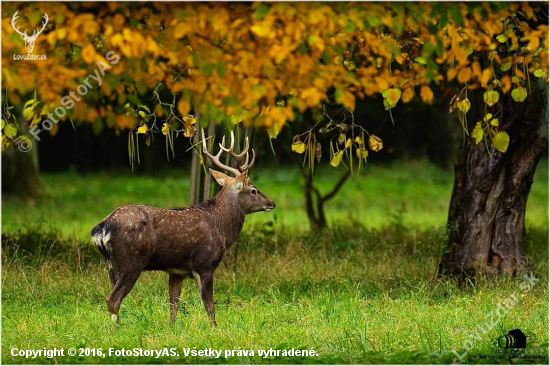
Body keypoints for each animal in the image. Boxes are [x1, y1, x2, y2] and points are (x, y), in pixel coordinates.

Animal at [92, 129, 278, 326]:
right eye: (253, 190)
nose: (271, 203)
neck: (220, 228)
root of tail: (102, 228)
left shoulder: (176, 271)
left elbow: (173, 306)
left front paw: (171, 328)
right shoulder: (205, 264)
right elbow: (209, 306)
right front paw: (215, 328)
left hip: (111, 265)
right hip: (132, 260)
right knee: (113, 299)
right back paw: (117, 330)